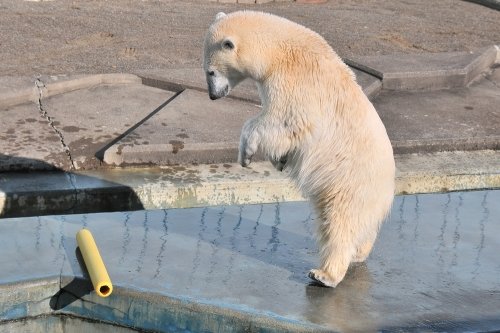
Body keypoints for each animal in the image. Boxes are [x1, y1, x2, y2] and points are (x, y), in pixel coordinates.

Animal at [203, 10, 394, 286]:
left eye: (210, 72)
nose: (213, 96)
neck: (277, 50)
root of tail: (388, 188)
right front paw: (280, 160)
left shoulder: (293, 80)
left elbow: (283, 121)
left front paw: (247, 154)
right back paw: (359, 252)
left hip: (349, 182)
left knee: (339, 223)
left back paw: (324, 274)